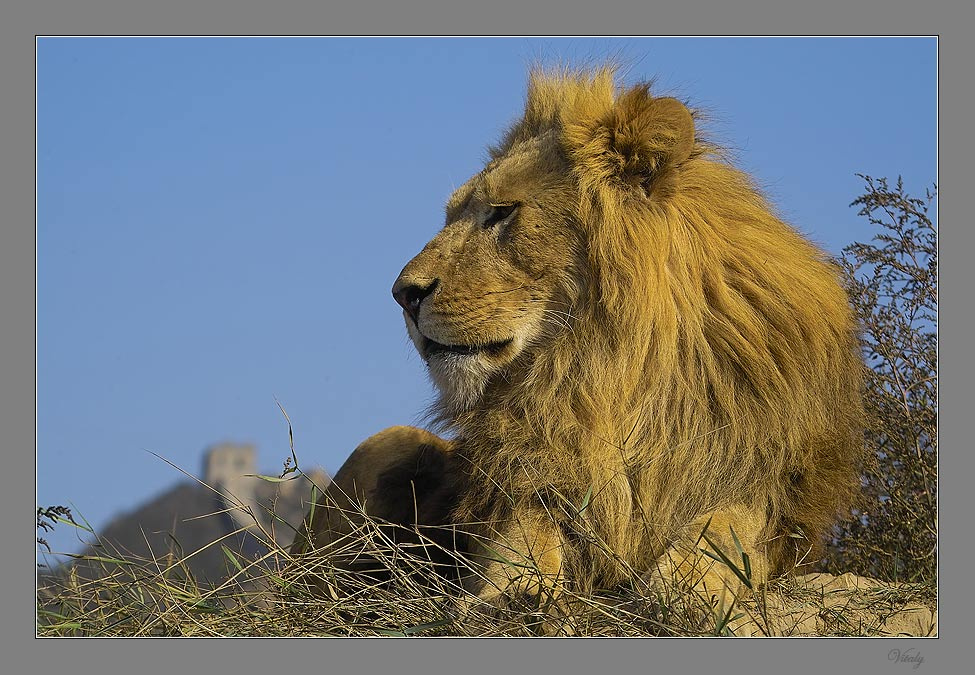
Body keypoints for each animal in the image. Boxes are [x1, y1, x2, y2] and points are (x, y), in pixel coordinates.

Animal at [293, 66, 865, 620]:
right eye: (453, 214)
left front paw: (684, 588)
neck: (606, 371)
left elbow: (726, 528)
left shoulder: (767, 486)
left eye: (502, 212)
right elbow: (521, 541)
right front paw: (515, 595)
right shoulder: (526, 483)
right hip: (387, 444)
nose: (403, 294)